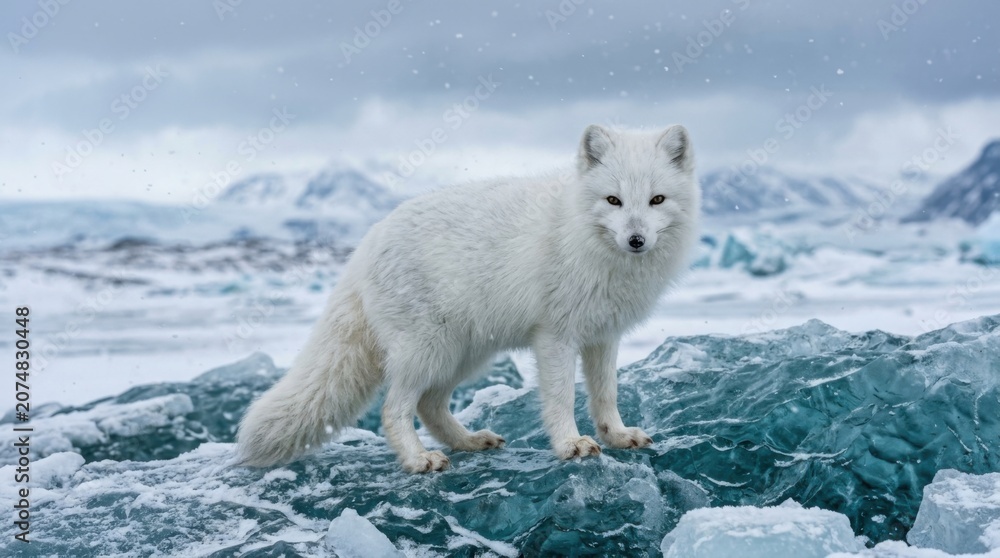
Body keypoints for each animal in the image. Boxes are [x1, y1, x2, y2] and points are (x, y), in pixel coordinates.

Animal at [236, 124, 701, 473]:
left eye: (657, 200)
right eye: (613, 200)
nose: (636, 240)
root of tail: (365, 244)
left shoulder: (604, 336)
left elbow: (607, 394)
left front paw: (617, 436)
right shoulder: (556, 336)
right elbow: (562, 397)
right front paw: (570, 444)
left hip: (464, 354)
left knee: (429, 406)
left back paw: (468, 442)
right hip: (428, 350)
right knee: (394, 408)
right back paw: (418, 460)